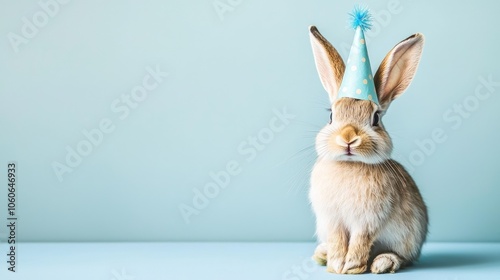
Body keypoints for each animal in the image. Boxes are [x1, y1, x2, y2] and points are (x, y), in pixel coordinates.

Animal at [306, 25, 428, 274]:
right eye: (331, 116)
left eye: (376, 118)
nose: (348, 138)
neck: (349, 165)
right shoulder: (333, 220)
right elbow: (338, 241)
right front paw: (335, 266)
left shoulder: (366, 222)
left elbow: (360, 242)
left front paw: (352, 267)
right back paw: (322, 253)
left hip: (408, 241)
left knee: (403, 258)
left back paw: (383, 263)